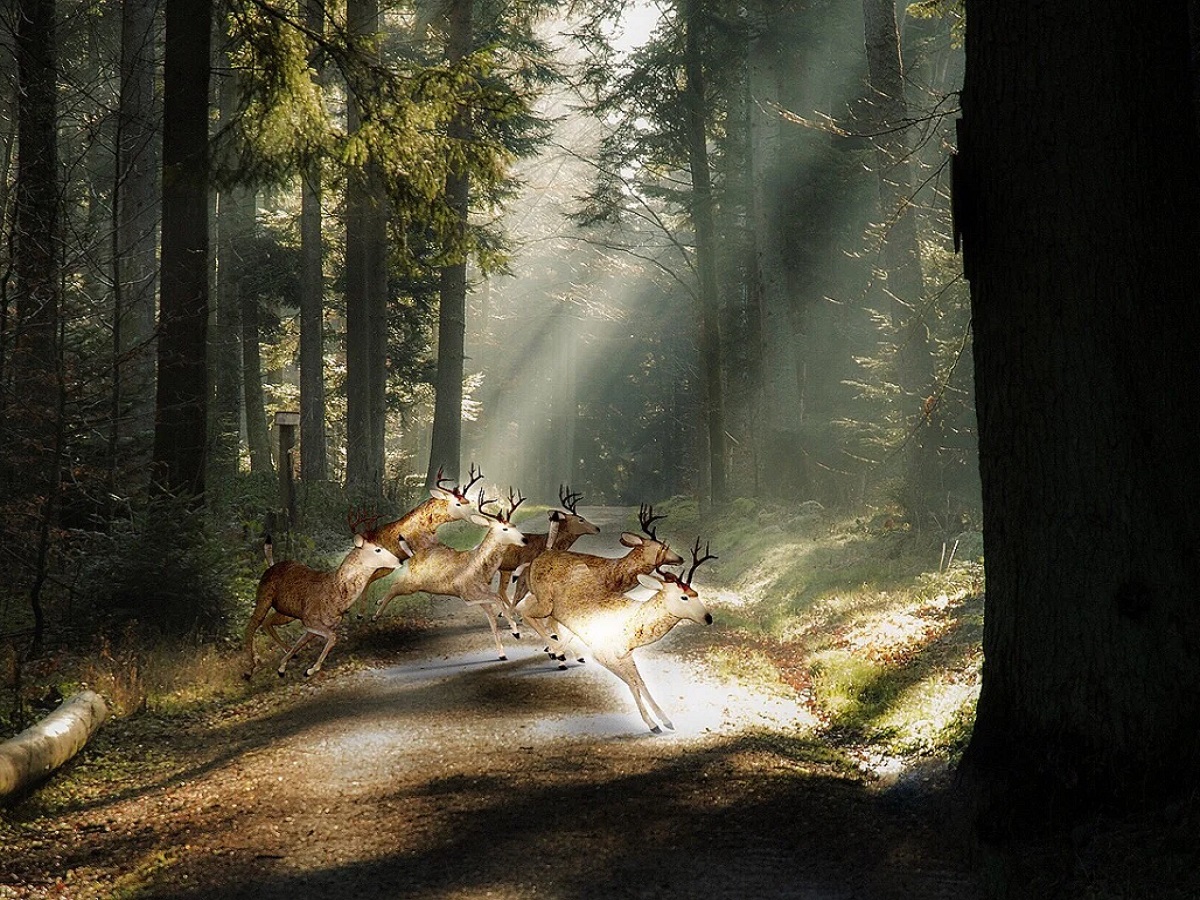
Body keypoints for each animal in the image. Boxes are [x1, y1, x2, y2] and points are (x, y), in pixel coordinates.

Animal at [242, 513, 408, 676]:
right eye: (377, 549)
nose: (399, 560)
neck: (337, 595)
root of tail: (270, 567)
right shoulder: (309, 619)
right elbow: (333, 637)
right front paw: (310, 670)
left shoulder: (314, 624)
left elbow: (301, 643)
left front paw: (283, 667)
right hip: (264, 596)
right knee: (251, 626)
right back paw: (250, 668)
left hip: (287, 611)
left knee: (267, 622)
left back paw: (284, 653)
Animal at [369, 489, 530, 657]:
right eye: (505, 529)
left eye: (514, 525)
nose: (524, 540)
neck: (481, 569)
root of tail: (414, 555)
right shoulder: (467, 593)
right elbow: (496, 599)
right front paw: (514, 631)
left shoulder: (482, 597)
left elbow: (493, 618)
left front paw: (506, 647)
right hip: (413, 583)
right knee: (394, 588)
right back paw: (375, 616)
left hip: (411, 580)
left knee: (394, 584)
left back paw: (378, 603)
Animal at [518, 535, 705, 734]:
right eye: (683, 597)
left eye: (696, 593)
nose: (708, 617)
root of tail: (540, 557)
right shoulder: (601, 655)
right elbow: (631, 683)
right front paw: (653, 725)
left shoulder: (626, 655)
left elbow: (640, 682)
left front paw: (667, 721)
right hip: (546, 603)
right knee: (525, 612)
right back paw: (557, 652)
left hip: (543, 602)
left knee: (528, 611)